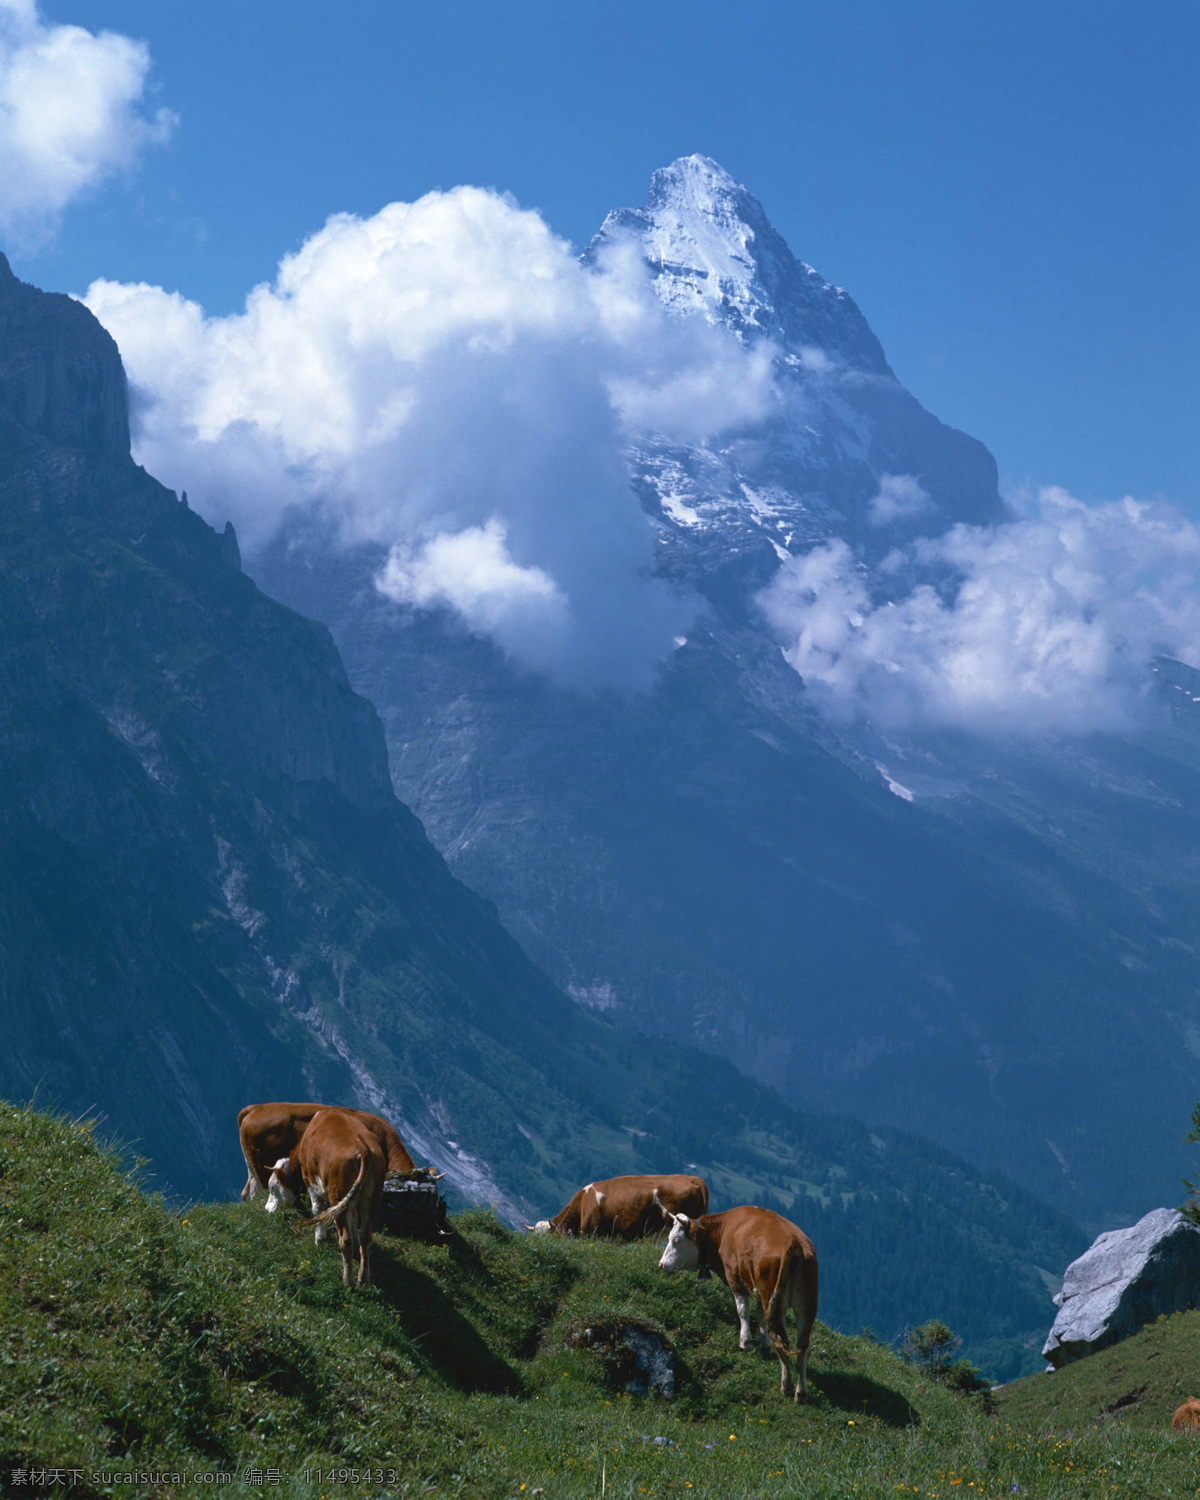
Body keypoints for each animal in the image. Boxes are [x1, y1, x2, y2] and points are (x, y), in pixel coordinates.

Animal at [264, 1110, 384, 1284]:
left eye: (272, 1187)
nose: (267, 1209)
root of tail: (363, 1149)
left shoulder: (310, 1181)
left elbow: (318, 1210)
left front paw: (319, 1239)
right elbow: (354, 1220)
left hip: (338, 1194)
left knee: (345, 1240)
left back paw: (348, 1280)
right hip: (372, 1200)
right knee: (367, 1239)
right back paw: (363, 1278)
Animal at [657, 1200, 816, 1398]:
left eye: (676, 1240)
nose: (661, 1264)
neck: (723, 1230)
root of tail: (794, 1243)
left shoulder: (734, 1277)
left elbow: (743, 1310)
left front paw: (746, 1342)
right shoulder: (759, 1292)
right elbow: (760, 1316)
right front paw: (763, 1344)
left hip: (776, 1299)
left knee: (782, 1341)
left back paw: (786, 1387)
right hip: (805, 1305)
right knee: (803, 1346)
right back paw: (801, 1392)